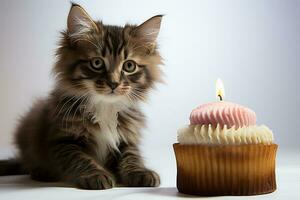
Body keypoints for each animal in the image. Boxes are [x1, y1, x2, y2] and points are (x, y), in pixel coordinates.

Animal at [0, 3, 163, 190]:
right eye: (97, 63)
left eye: (129, 66)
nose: (113, 83)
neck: (105, 107)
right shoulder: (62, 140)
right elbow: (81, 159)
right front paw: (96, 174)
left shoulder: (126, 138)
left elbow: (131, 156)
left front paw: (140, 171)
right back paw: (42, 173)